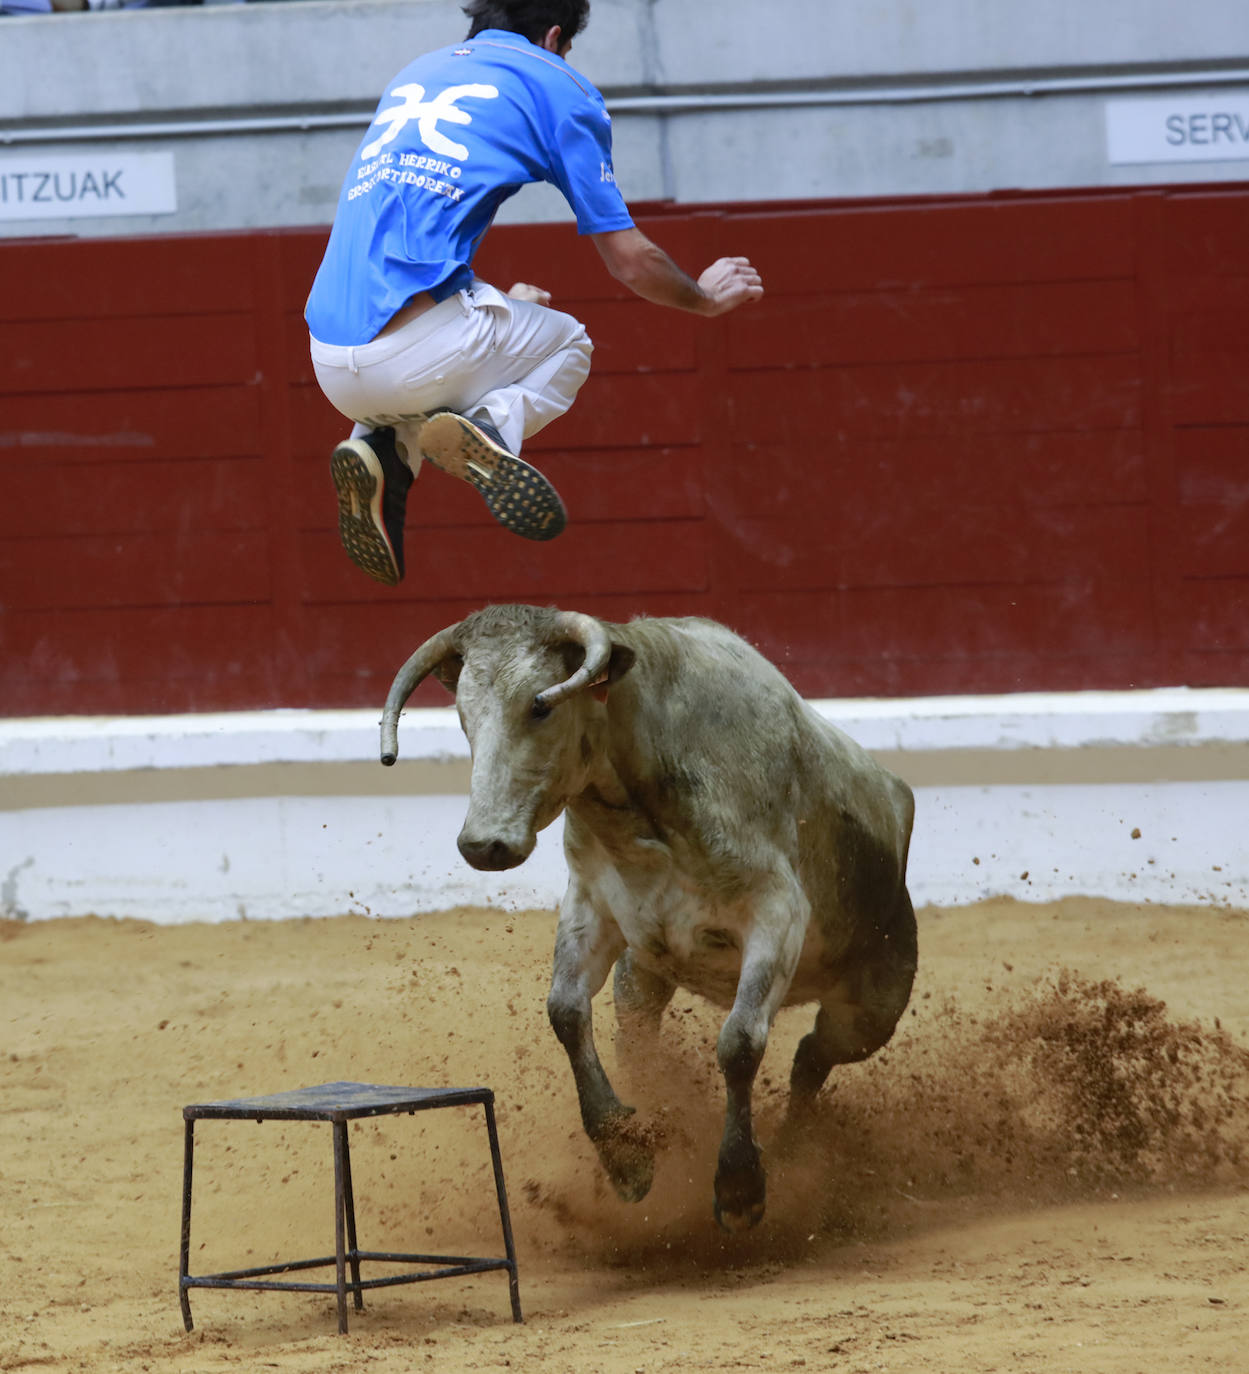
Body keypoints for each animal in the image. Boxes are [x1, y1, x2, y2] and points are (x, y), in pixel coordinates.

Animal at [379, 607, 917, 1231]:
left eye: (540, 706)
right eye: (465, 716)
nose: (483, 844)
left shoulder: (777, 912)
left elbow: (740, 1042)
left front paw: (740, 1189)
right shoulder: (593, 903)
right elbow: (566, 1012)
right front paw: (626, 1156)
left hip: (873, 1007)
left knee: (814, 1054)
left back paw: (790, 1149)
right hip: (645, 973)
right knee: (645, 1038)